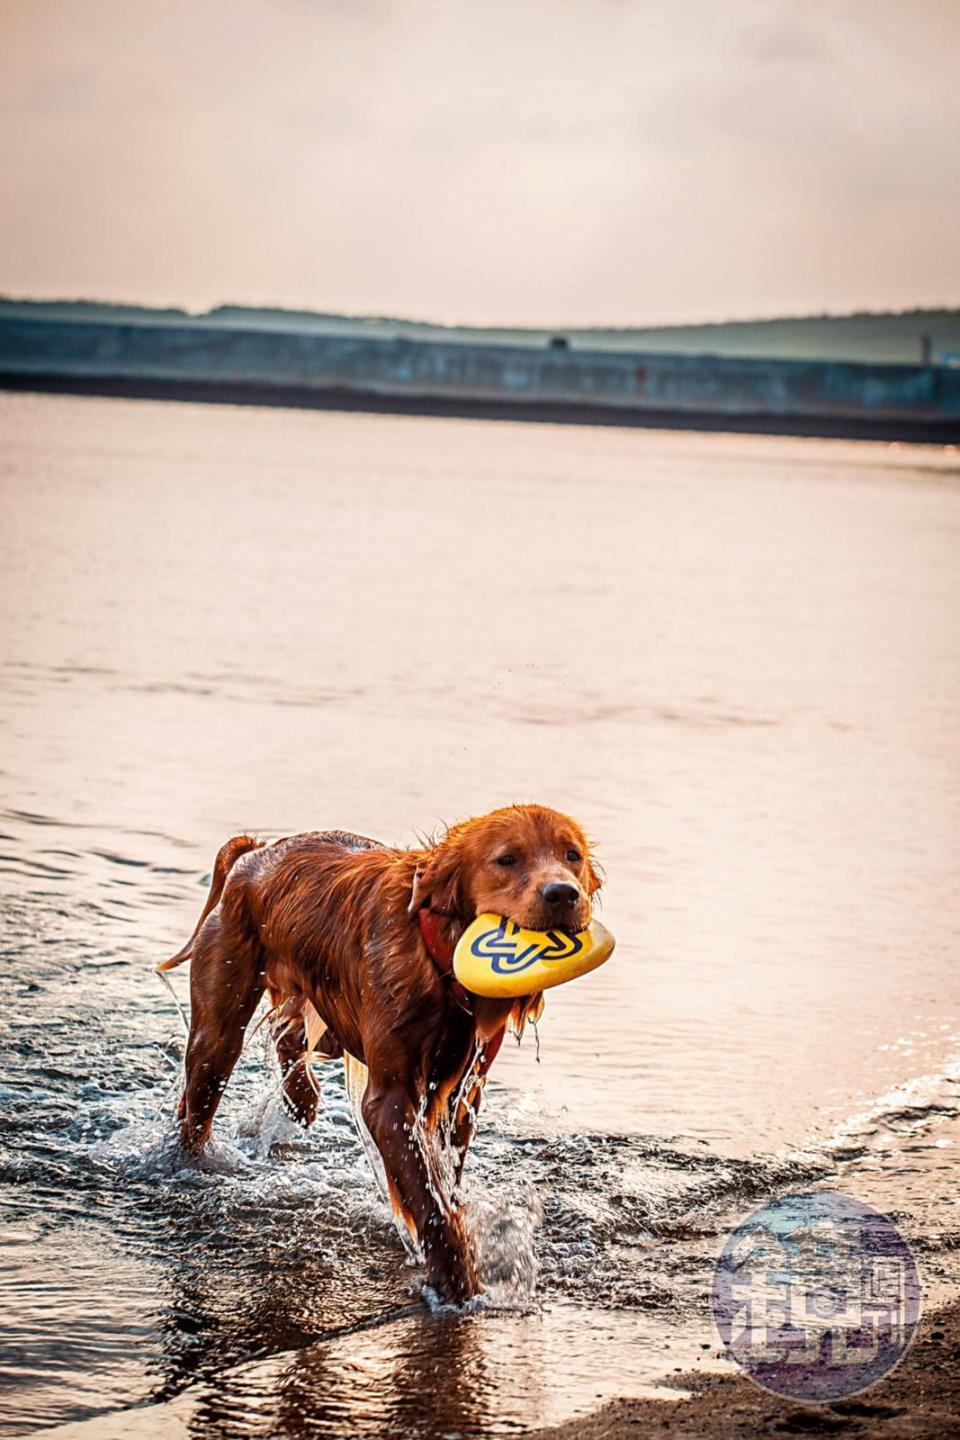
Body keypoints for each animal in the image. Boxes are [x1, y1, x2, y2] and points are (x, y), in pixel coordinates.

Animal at [163, 806, 601, 1301]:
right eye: (507, 859)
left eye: (572, 856)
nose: (563, 893)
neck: (439, 959)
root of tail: (257, 852)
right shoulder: (390, 1098)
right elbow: (428, 1199)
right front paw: (456, 1279)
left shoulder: (464, 1092)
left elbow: (445, 1174)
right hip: (218, 1026)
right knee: (198, 1103)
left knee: (288, 1034)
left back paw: (302, 1097)